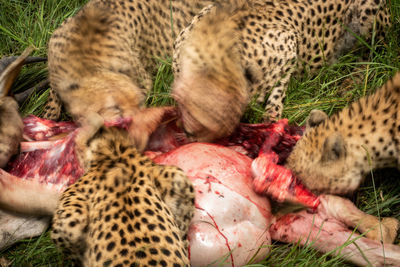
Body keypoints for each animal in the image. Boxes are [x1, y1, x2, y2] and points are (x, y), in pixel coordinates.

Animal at [173, 0, 390, 142]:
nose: (189, 135)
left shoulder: (290, 43)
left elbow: (279, 87)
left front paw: (271, 116)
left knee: (375, 53)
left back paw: (353, 80)